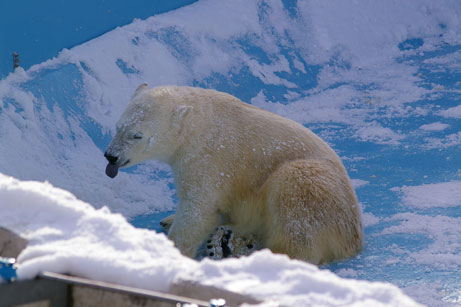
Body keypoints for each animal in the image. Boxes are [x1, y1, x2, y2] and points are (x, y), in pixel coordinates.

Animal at [105, 84, 362, 264]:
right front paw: (170, 220)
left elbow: (197, 209)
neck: (199, 122)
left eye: (137, 135)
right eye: (118, 127)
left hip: (317, 193)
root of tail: (353, 237)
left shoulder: (207, 158)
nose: (111, 156)